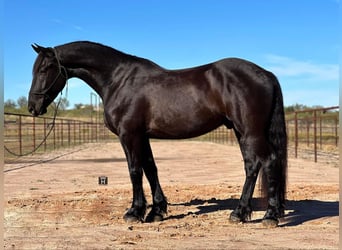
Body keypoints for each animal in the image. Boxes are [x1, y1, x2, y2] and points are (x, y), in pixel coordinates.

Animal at [28, 41, 288, 227]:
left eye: (44, 69)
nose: (33, 107)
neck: (119, 80)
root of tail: (266, 74)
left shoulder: (129, 134)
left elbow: (135, 170)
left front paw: (134, 212)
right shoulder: (142, 136)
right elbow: (151, 168)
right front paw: (157, 211)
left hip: (251, 133)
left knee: (268, 161)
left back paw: (269, 216)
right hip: (241, 131)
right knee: (252, 165)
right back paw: (240, 213)